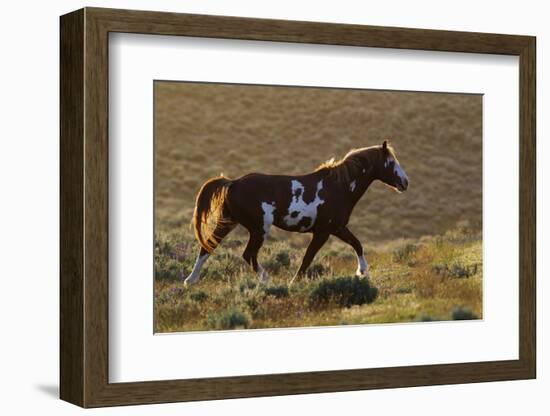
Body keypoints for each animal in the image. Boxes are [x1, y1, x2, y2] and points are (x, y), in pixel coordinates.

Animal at [184, 141, 410, 286]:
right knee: (248, 254)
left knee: (208, 247)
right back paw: (267, 281)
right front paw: (294, 282)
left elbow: (357, 244)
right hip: (259, 229)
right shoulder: (323, 232)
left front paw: (362, 273)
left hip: (230, 222)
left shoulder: (337, 228)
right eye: (391, 163)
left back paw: (190, 281)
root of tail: (232, 183)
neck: (339, 187)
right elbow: (308, 258)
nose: (405, 182)